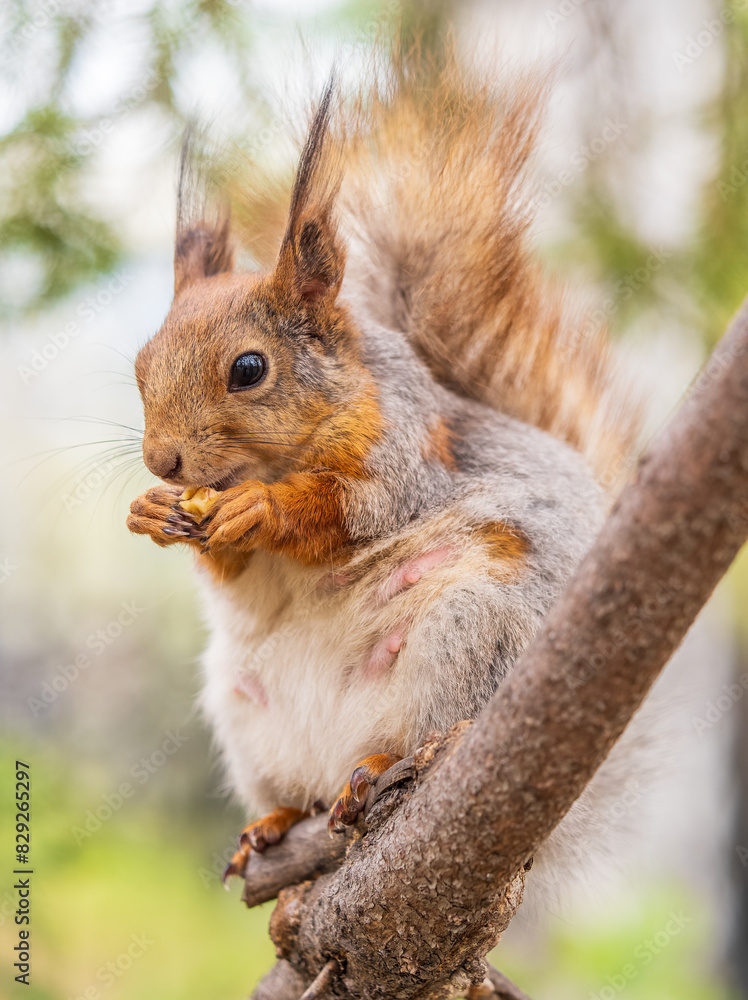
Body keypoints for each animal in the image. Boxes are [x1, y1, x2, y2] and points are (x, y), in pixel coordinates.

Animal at [127, 47, 644, 892]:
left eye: (248, 369)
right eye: (140, 366)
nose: (161, 460)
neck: (277, 456)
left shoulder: (404, 452)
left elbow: (357, 511)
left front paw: (264, 509)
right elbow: (236, 573)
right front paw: (150, 512)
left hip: (466, 646)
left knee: (406, 739)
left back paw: (374, 765)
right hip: (244, 712)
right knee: (298, 794)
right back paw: (274, 821)